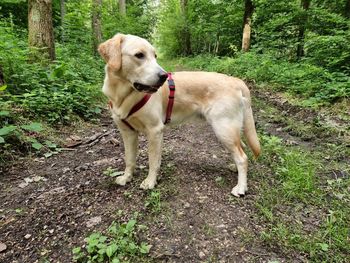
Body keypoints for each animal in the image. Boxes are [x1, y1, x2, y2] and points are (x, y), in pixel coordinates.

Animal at [98, 34, 260, 197]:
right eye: (139, 55)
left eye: (155, 56)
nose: (163, 76)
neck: (123, 94)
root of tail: (236, 80)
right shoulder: (127, 132)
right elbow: (130, 159)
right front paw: (126, 177)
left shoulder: (155, 130)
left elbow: (153, 161)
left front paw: (150, 182)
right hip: (230, 130)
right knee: (241, 149)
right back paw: (235, 169)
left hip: (224, 129)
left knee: (243, 157)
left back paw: (241, 187)